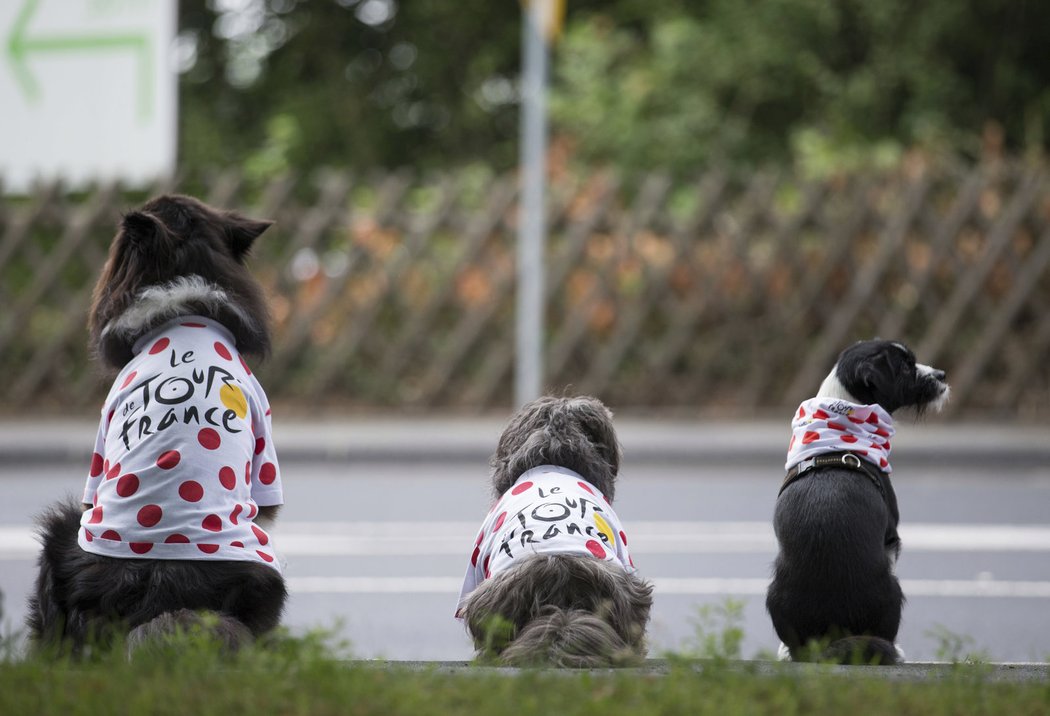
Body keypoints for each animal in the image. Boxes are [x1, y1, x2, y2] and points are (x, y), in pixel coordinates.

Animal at [768, 340, 949, 663]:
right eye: (905, 366)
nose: (941, 374)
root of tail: (827, 643)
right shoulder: (891, 536)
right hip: (894, 589)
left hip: (773, 592)